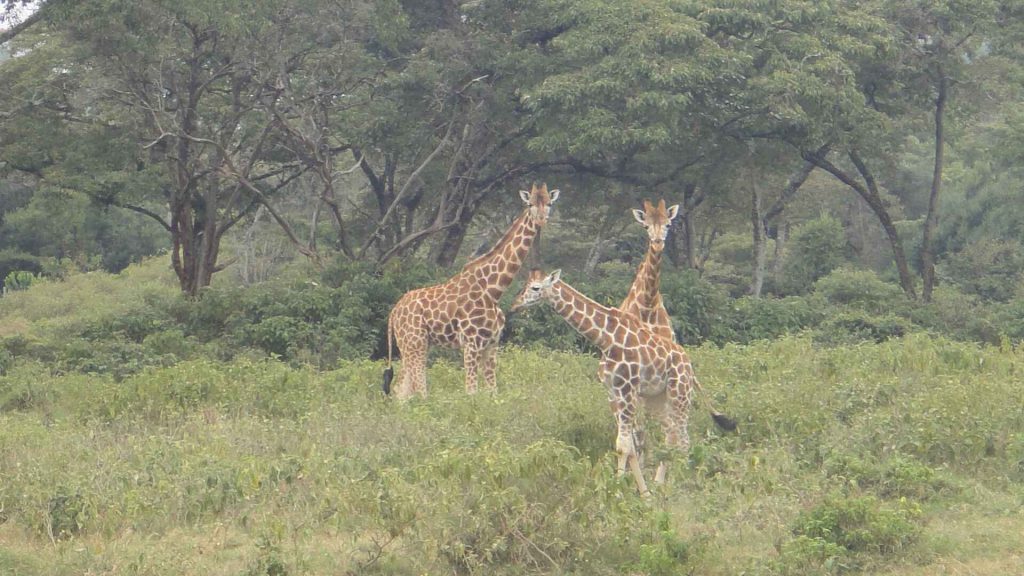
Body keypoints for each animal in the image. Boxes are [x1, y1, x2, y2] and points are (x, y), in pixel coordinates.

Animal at [383, 183, 560, 399]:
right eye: (530, 204)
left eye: (549, 203)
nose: (542, 220)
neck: (493, 291)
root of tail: (393, 313)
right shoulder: (471, 344)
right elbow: (471, 392)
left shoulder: (492, 344)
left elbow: (493, 392)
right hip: (415, 342)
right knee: (419, 389)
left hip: (411, 344)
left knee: (401, 389)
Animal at [511, 269, 734, 495]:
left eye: (535, 288)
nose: (515, 304)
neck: (606, 339)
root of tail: (689, 367)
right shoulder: (613, 392)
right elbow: (627, 446)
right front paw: (642, 493)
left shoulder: (627, 388)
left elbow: (624, 445)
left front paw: (616, 492)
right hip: (656, 398)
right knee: (671, 434)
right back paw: (660, 484)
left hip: (680, 394)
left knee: (684, 440)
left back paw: (684, 486)